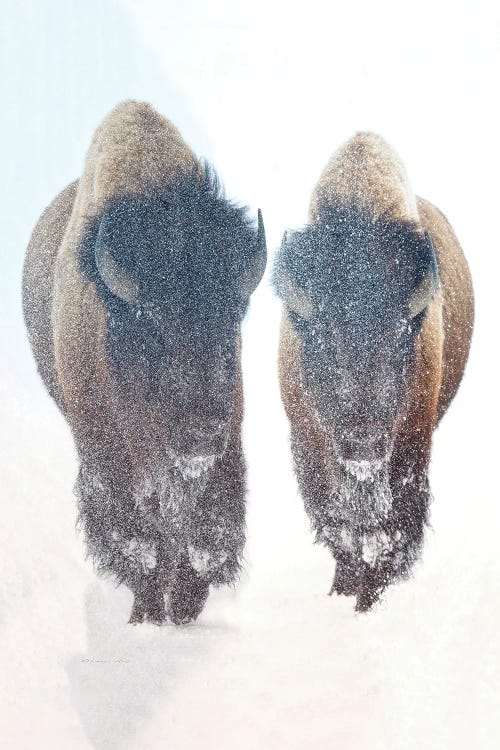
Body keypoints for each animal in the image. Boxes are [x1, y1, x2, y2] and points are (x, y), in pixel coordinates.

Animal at [24, 101, 266, 628]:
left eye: (232, 317)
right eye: (152, 325)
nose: (200, 431)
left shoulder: (223, 449)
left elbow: (206, 530)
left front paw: (187, 606)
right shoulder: (108, 456)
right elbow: (139, 539)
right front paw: (150, 614)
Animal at [274, 131, 472, 612]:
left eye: (402, 339)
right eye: (323, 339)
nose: (363, 445)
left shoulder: (409, 447)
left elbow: (389, 532)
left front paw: (368, 602)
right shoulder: (310, 445)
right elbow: (340, 524)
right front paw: (344, 590)